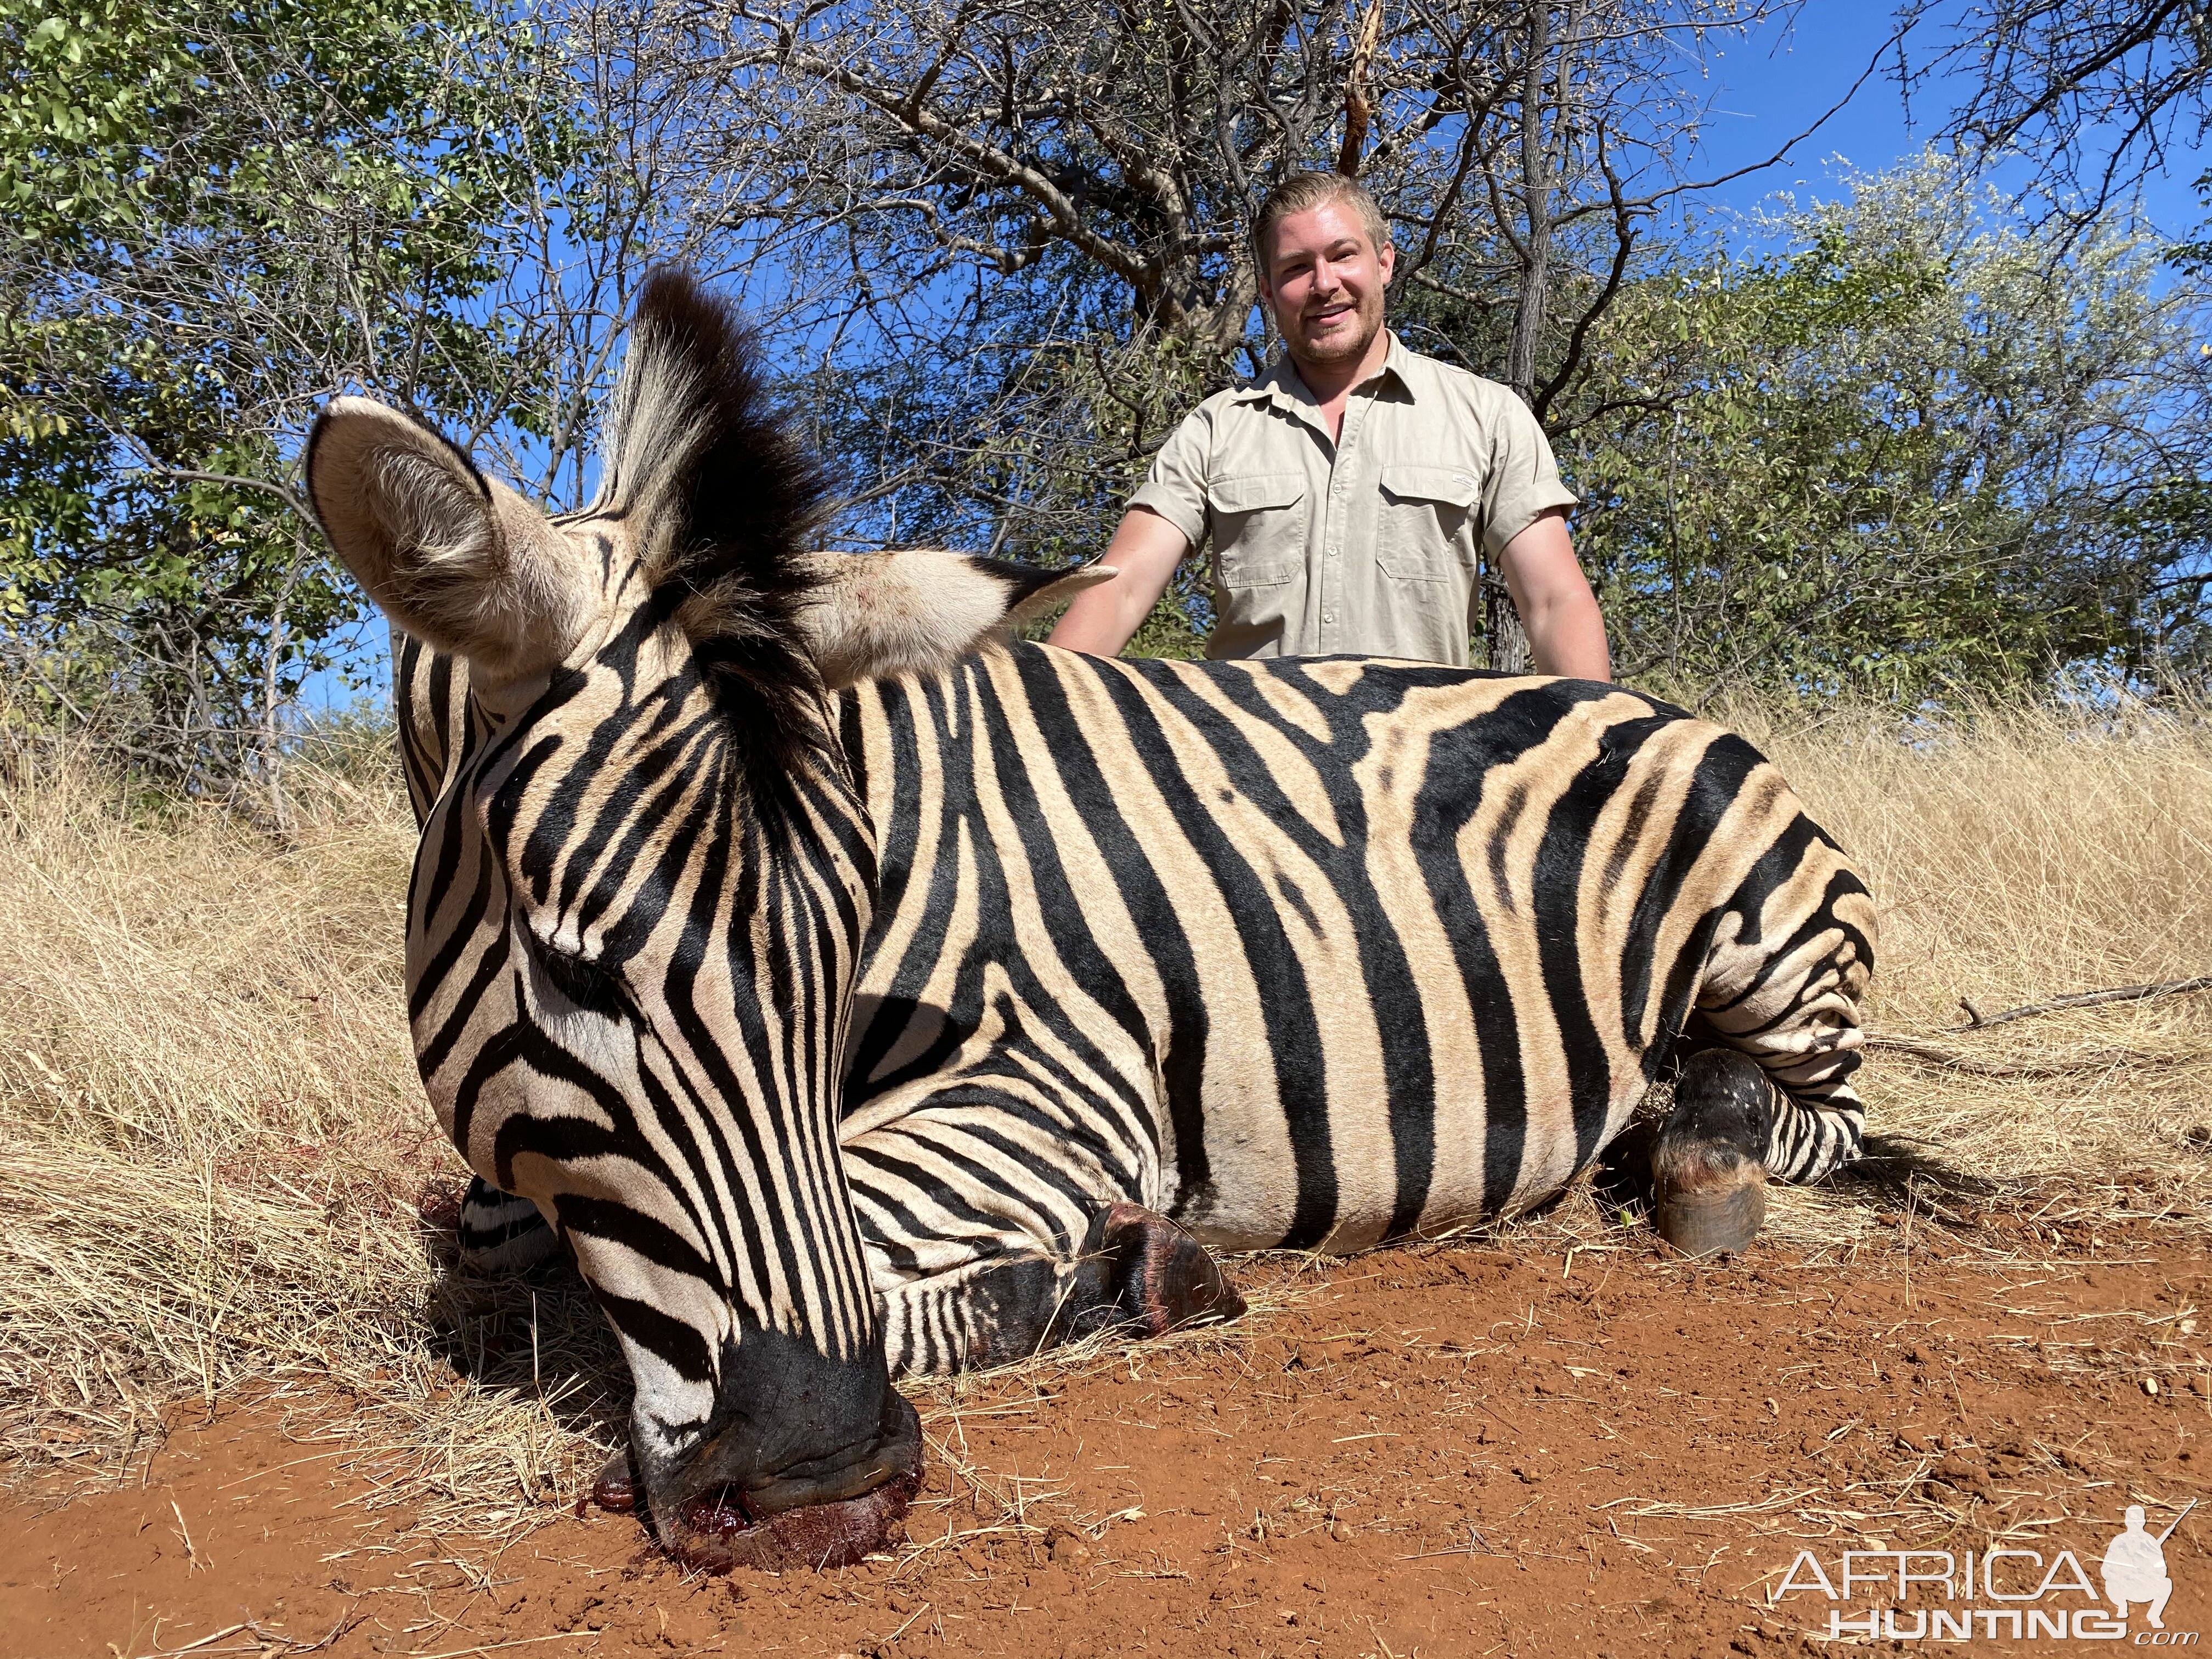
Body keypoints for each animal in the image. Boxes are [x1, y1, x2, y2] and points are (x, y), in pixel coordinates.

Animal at [303, 269, 1876, 1575]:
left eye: (848, 951)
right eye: (570, 971)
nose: (822, 1490)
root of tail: (1643, 697)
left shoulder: (1061, 1080)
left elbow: (854, 1241)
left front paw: (1137, 1270)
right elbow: (499, 1236)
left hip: (1771, 934)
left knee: (1811, 1108)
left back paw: (1700, 1153)